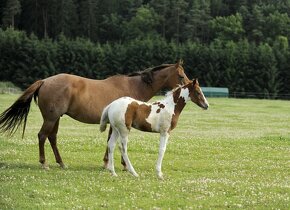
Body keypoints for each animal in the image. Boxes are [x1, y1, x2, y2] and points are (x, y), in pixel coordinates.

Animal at [0, 59, 190, 169]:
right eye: (181, 76)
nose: (189, 86)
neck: (133, 87)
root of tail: (45, 81)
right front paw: (118, 164)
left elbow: (110, 141)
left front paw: (109, 163)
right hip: (51, 118)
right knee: (42, 136)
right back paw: (44, 163)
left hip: (55, 119)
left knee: (52, 138)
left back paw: (61, 163)